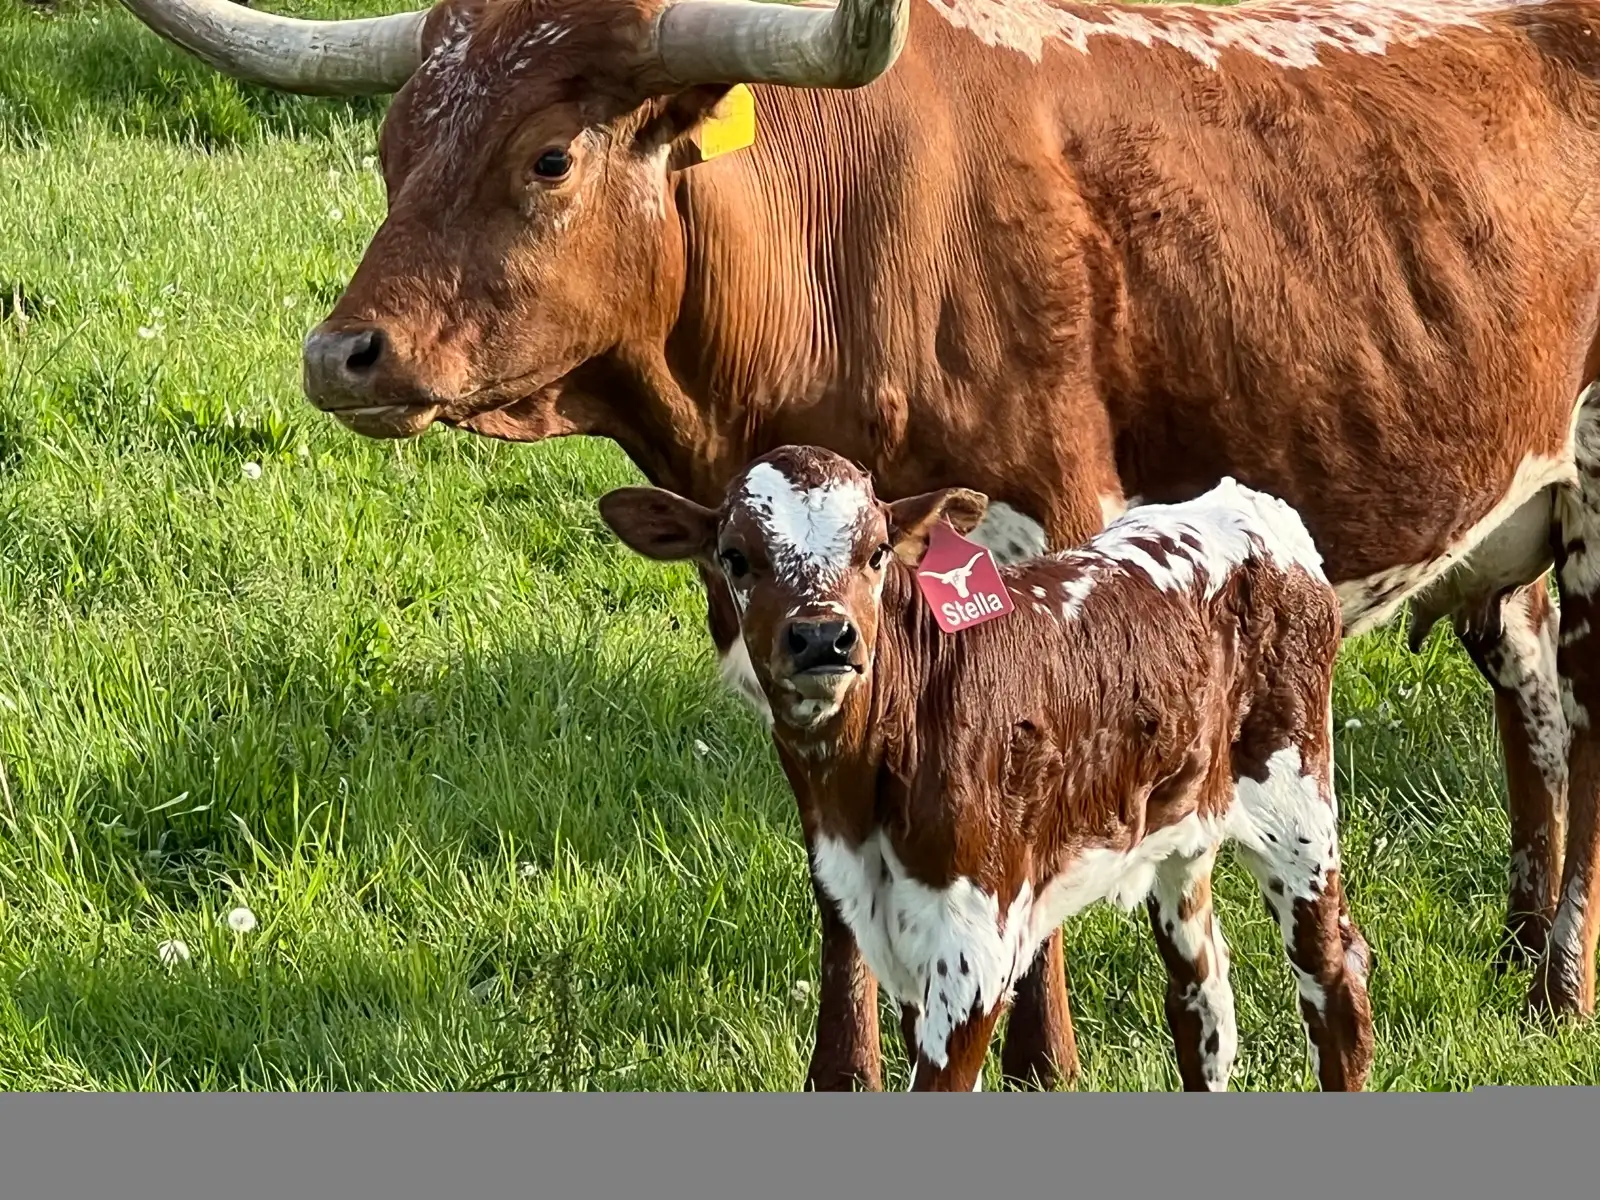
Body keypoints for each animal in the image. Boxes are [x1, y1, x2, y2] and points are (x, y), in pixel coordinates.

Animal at [598, 447, 1374, 1091]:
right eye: (735, 556)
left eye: (877, 552)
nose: (822, 637)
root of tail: (1241, 502)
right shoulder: (875, 921)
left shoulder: (975, 951)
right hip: (1180, 833)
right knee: (1201, 1001)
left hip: (1298, 814)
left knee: (1336, 983)